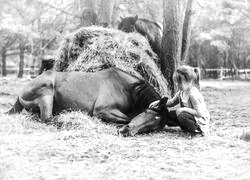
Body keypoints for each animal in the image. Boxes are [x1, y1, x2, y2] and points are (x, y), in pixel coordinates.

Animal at [7, 68, 170, 136]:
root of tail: (21, 92)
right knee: (47, 118)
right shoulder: (102, 110)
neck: (126, 87)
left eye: (154, 127)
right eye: (147, 112)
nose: (126, 131)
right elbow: (126, 118)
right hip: (46, 94)